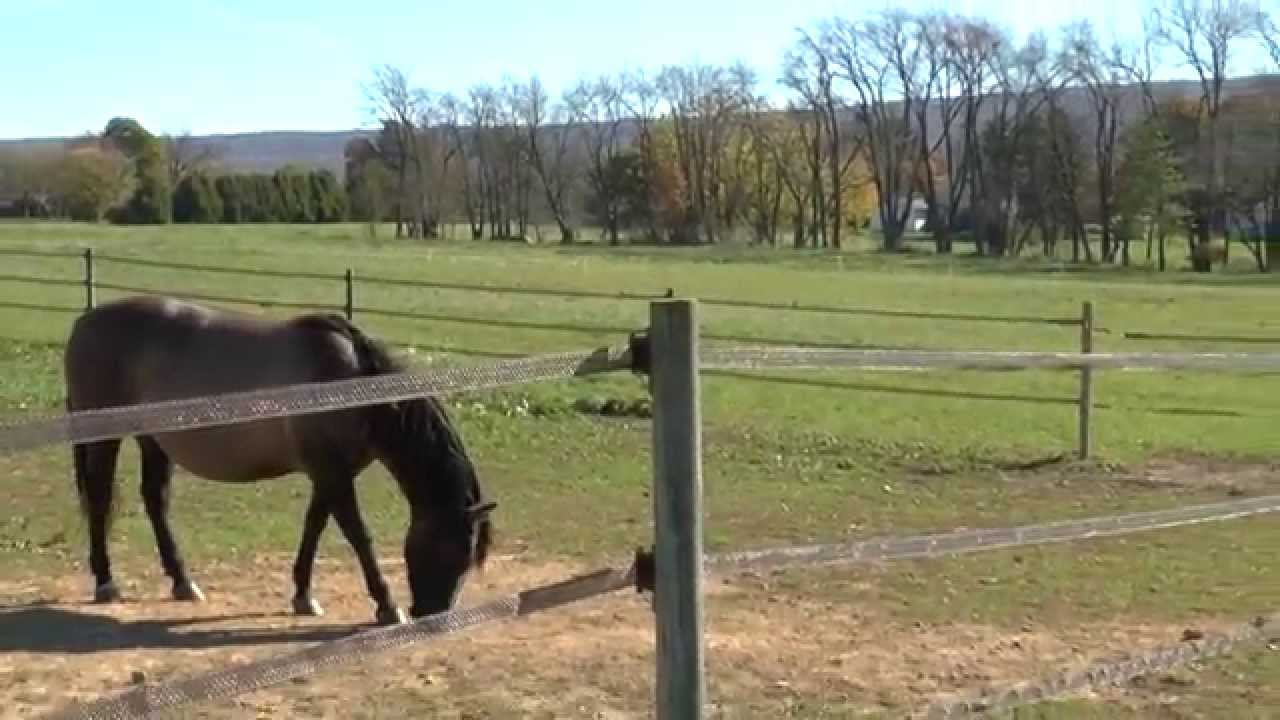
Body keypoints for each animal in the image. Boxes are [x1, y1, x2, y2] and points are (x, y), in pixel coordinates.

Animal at [62, 295, 496, 625]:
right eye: (450, 549)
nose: (432, 613)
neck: (349, 386)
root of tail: (84, 321)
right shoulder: (333, 474)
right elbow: (358, 535)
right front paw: (386, 605)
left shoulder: (328, 474)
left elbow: (314, 526)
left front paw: (303, 595)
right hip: (105, 439)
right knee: (99, 499)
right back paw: (106, 583)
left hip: (153, 441)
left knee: (155, 500)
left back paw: (183, 582)